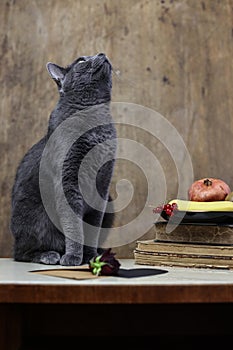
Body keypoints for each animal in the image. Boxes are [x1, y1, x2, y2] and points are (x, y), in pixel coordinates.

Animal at [10, 52, 116, 266]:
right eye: (82, 60)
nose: (102, 53)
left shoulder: (103, 185)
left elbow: (93, 228)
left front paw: (90, 256)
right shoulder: (67, 182)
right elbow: (74, 226)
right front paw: (74, 257)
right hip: (33, 216)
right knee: (21, 253)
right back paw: (48, 255)